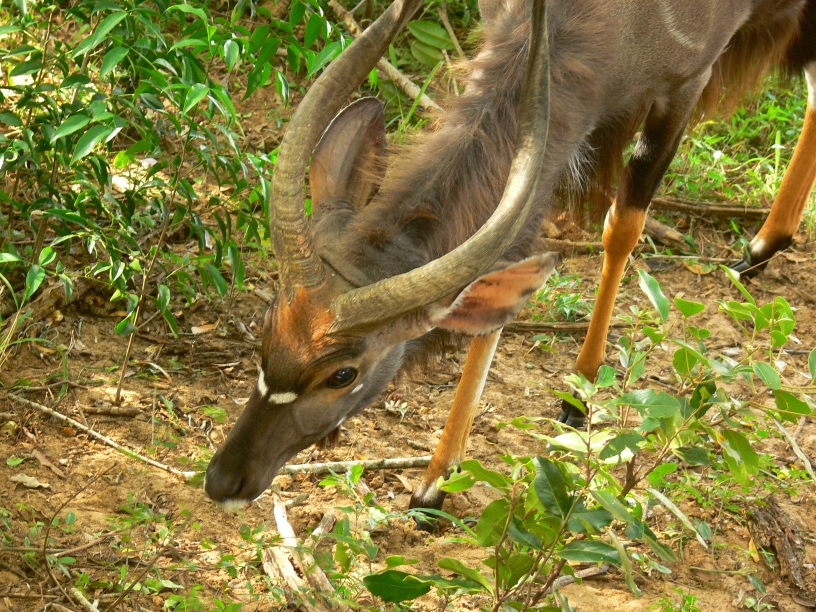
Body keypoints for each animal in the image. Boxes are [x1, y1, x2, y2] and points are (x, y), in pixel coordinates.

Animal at [204, 0, 816, 514]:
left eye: (342, 374)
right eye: (266, 329)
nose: (223, 480)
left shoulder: (686, 81)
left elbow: (621, 227)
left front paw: (574, 394)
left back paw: (761, 246)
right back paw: (765, 243)